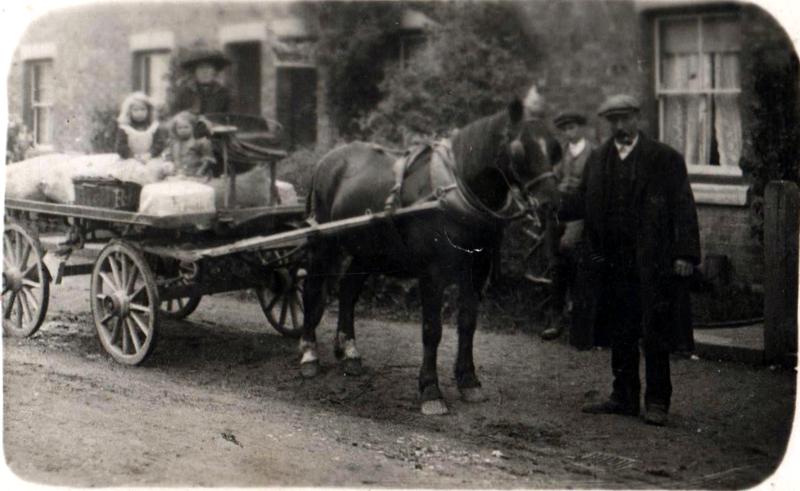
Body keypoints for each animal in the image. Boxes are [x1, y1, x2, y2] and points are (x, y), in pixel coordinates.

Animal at [296, 99, 560, 416]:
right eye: (520, 149)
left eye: (555, 149)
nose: (550, 204)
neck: (453, 192)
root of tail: (327, 160)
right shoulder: (432, 274)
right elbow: (432, 330)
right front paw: (431, 391)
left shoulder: (477, 271)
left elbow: (467, 324)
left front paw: (469, 381)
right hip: (323, 243)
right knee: (312, 290)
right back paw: (309, 355)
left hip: (368, 250)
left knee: (348, 292)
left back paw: (350, 353)